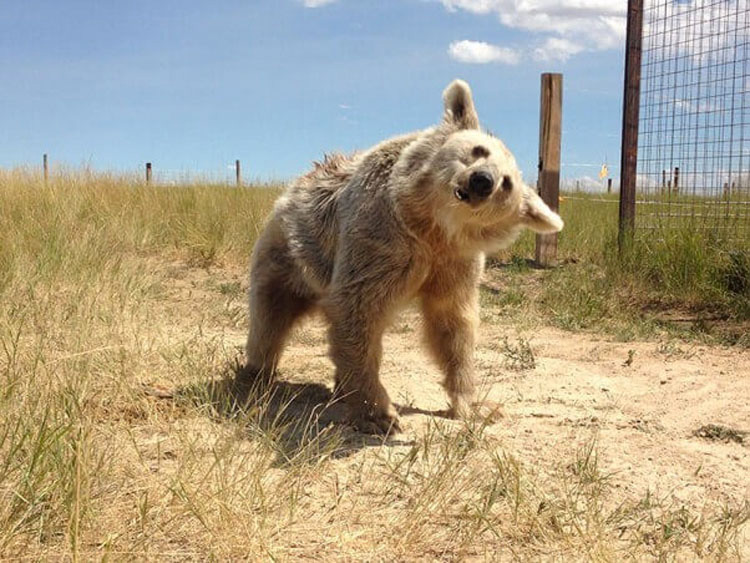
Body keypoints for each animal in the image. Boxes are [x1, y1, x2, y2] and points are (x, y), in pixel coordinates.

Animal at [241, 77, 564, 434]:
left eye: (507, 184)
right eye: (479, 150)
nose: (482, 180)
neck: (431, 225)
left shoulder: (454, 262)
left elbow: (452, 326)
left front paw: (475, 404)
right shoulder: (381, 240)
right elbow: (359, 307)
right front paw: (380, 413)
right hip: (288, 253)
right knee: (270, 318)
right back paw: (257, 374)